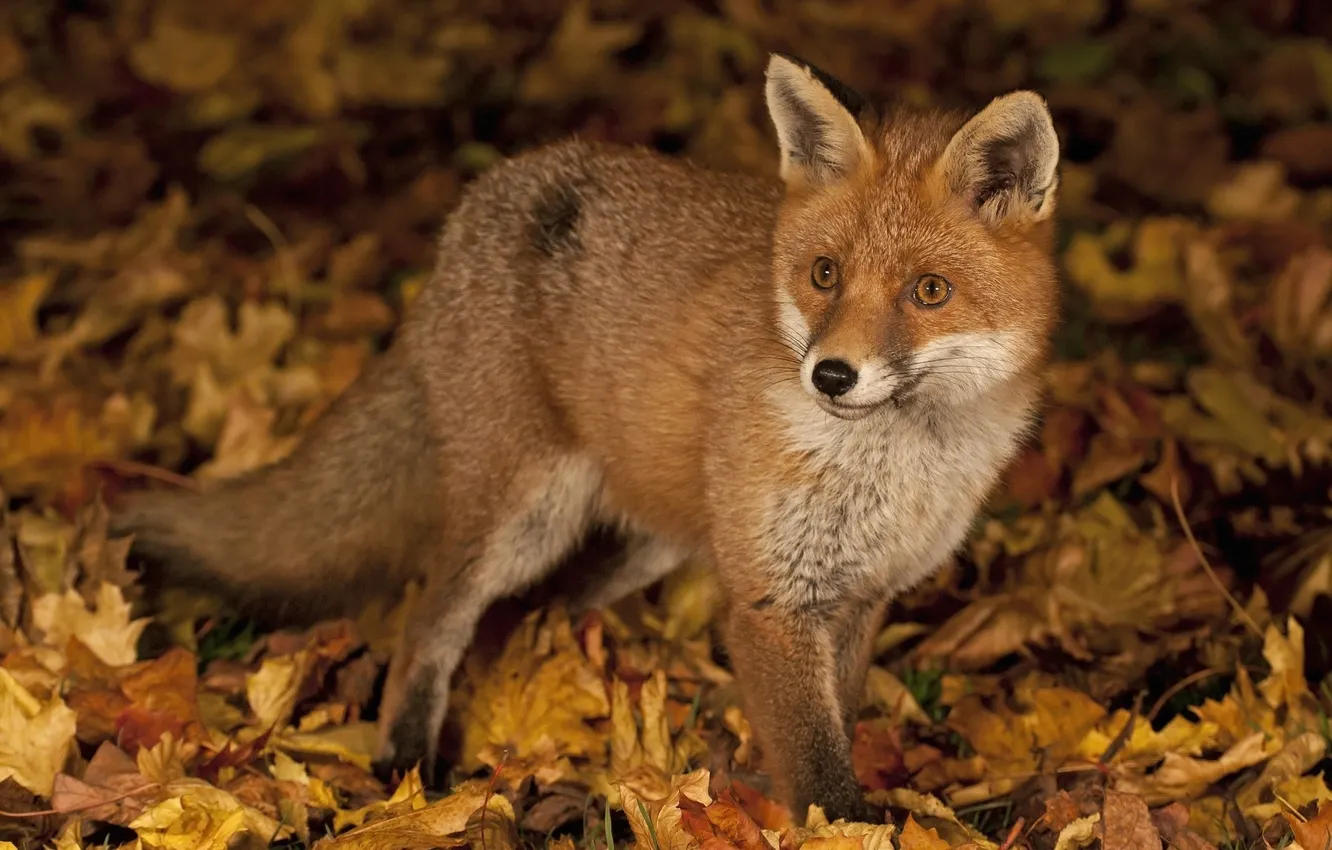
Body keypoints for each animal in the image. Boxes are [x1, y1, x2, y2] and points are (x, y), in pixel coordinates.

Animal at [111, 53, 1061, 823]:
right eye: (824, 275)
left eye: (929, 291)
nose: (830, 375)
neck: (901, 465)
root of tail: (481, 202)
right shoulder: (770, 601)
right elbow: (822, 776)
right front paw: (848, 828)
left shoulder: (856, 598)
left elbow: (839, 724)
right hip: (524, 517)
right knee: (429, 620)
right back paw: (408, 764)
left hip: (642, 541)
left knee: (544, 611)